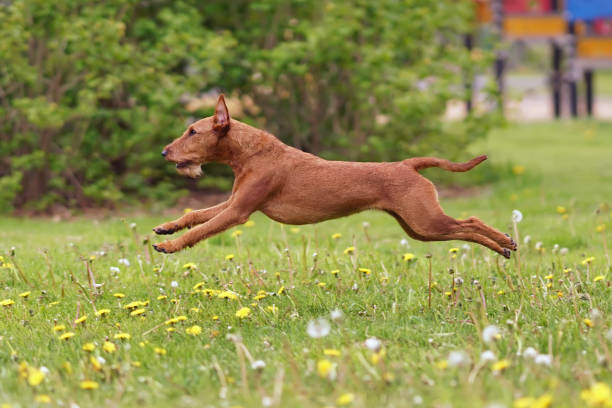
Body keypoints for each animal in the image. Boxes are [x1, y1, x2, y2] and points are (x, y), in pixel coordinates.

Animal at [153, 94, 516, 256]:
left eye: (192, 132)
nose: (164, 152)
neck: (251, 153)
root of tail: (406, 164)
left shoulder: (240, 211)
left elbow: (202, 230)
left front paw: (170, 245)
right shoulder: (234, 202)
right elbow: (195, 214)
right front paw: (167, 226)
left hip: (426, 221)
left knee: (469, 221)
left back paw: (503, 242)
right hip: (419, 229)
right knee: (464, 228)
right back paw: (502, 245)